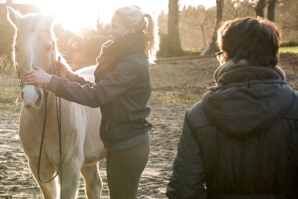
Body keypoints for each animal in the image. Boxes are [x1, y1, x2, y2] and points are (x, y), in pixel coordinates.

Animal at [6, 6, 107, 199]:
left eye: (49, 47)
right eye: (15, 48)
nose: (31, 99)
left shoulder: (70, 168)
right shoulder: (39, 169)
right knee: (94, 185)